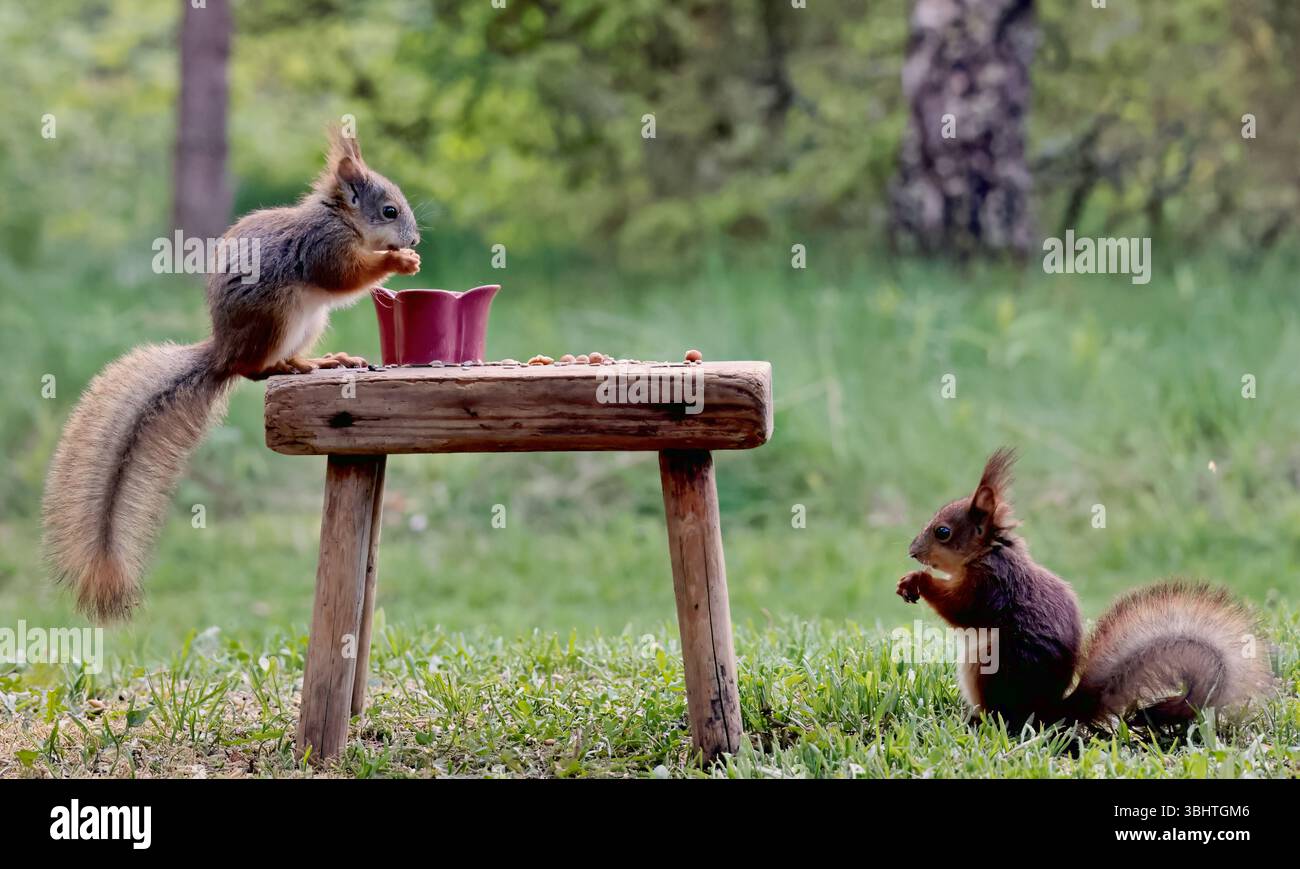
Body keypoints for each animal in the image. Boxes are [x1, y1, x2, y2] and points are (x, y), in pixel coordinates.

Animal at [43, 129, 421, 621]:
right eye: (389, 210)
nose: (415, 238)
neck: (341, 219)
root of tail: (222, 352)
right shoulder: (325, 247)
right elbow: (346, 276)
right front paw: (398, 261)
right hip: (276, 315)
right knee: (254, 370)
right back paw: (293, 365)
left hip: (308, 323)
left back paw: (320, 361)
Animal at [897, 448, 1275, 733]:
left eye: (943, 532)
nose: (912, 551)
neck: (988, 553)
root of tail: (1049, 712)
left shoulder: (991, 586)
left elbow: (961, 609)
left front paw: (917, 581)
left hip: (986, 667)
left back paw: (979, 720)